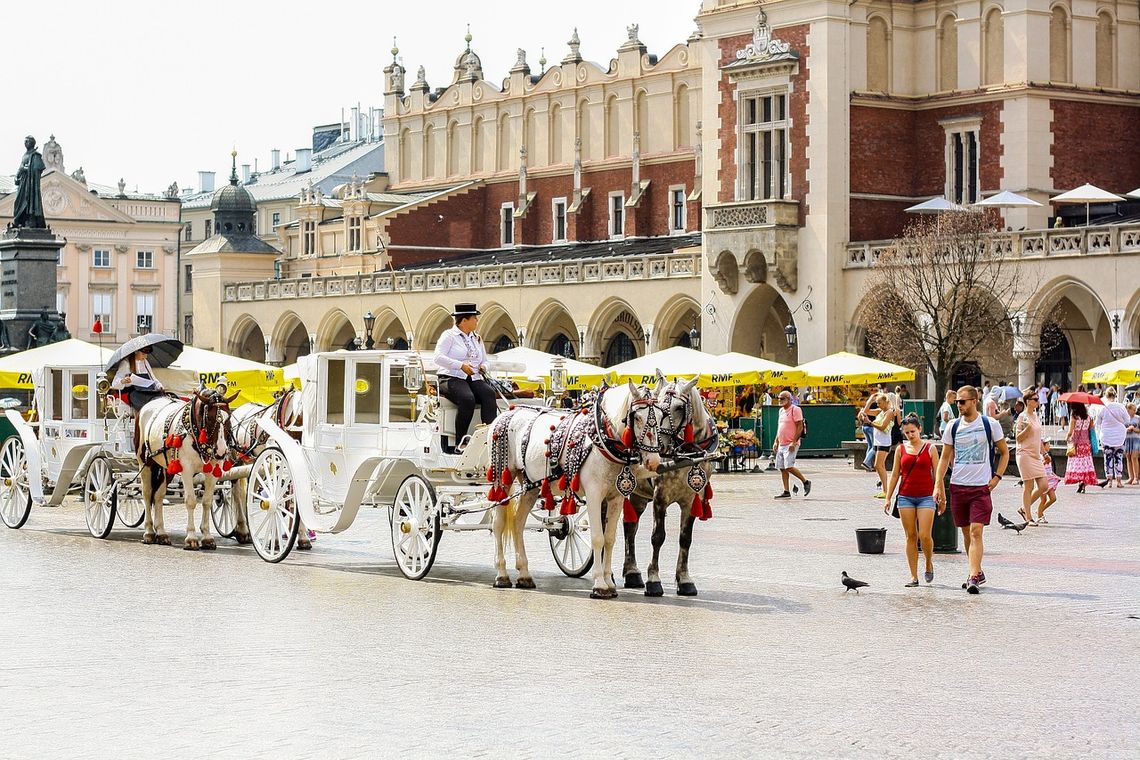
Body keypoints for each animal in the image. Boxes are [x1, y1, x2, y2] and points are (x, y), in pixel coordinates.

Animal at [136, 389, 238, 549]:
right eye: (210, 418)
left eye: (229, 419)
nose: (221, 451)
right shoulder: (186, 470)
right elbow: (190, 501)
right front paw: (191, 538)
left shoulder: (213, 472)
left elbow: (207, 501)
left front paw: (207, 537)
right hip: (145, 463)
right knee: (146, 494)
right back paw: (149, 532)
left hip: (166, 468)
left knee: (158, 496)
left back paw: (161, 533)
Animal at [226, 389, 305, 549]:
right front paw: (275, 541)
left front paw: (303, 537)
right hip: (235, 461)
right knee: (237, 492)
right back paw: (243, 530)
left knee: (248, 493)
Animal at [483, 382, 665, 597]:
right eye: (637, 417)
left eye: (661, 417)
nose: (653, 461)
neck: (602, 438)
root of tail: (506, 412)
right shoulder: (594, 495)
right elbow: (597, 538)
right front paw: (600, 585)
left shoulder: (616, 498)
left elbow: (609, 539)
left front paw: (609, 583)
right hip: (502, 477)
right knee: (499, 525)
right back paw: (501, 574)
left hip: (530, 486)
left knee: (518, 523)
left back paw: (524, 575)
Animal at [620, 378, 715, 597]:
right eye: (660, 408)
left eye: (679, 408)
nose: (659, 447)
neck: (686, 454)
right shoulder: (660, 497)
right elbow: (658, 537)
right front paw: (654, 580)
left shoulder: (692, 500)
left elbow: (685, 538)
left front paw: (685, 580)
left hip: (637, 496)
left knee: (630, 527)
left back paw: (632, 573)